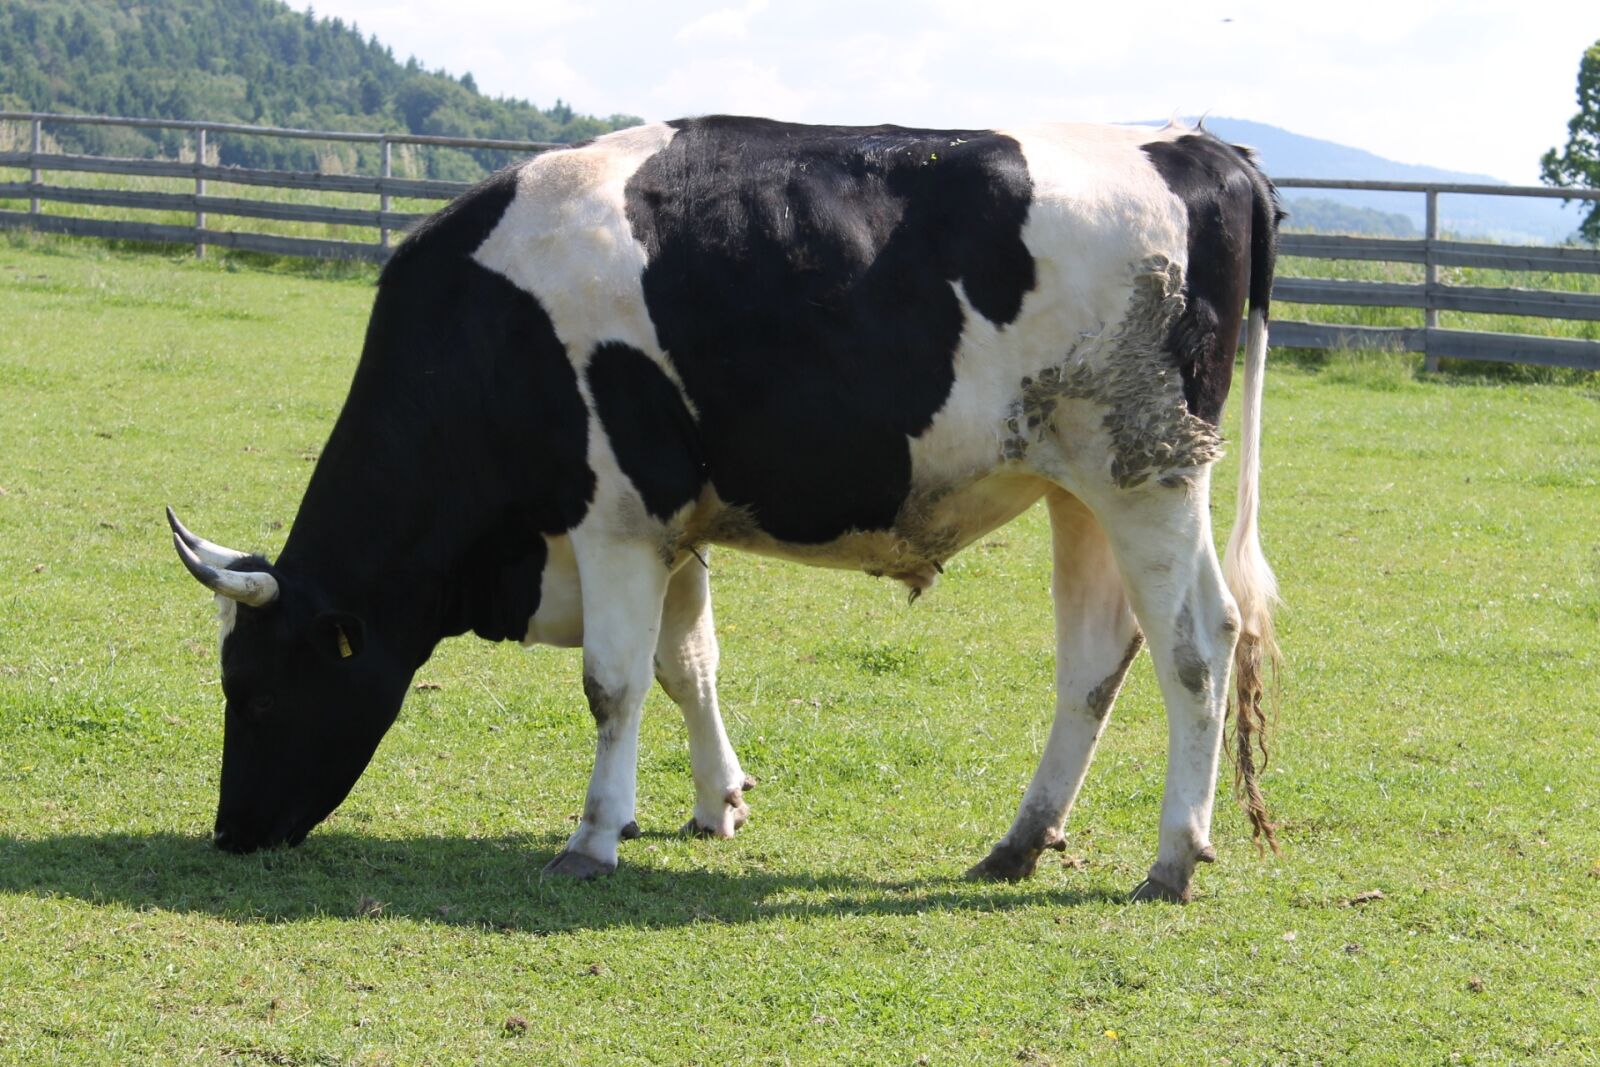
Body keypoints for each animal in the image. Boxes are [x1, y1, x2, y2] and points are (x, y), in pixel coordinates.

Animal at [169, 115, 1281, 903]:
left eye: (251, 691)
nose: (230, 832)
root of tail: (1197, 147)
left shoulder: (615, 518)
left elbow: (612, 683)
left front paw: (592, 837)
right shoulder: (673, 525)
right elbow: (685, 664)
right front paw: (716, 802)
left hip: (1145, 478)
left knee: (1193, 648)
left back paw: (1172, 855)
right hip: (1086, 489)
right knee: (1110, 655)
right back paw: (1017, 841)